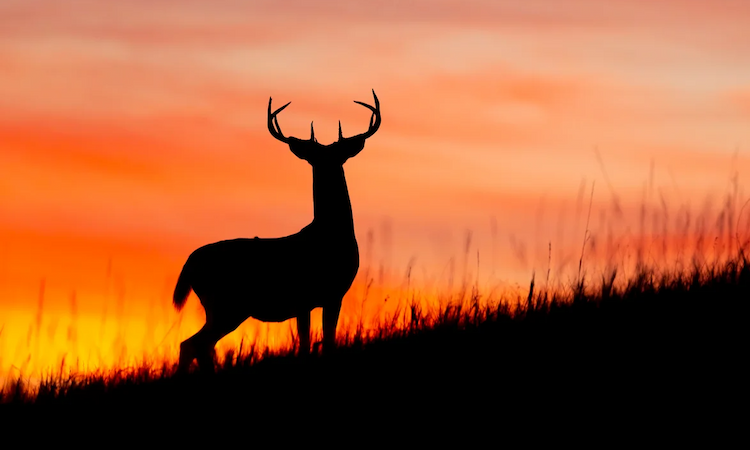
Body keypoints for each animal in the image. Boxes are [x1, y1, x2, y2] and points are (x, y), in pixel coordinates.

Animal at [172, 90, 381, 373]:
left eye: (337, 156)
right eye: (316, 157)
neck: (330, 234)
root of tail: (190, 262)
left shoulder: (320, 298)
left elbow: (315, 341)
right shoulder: (320, 294)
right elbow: (316, 342)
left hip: (220, 306)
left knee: (198, 345)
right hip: (227, 303)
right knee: (193, 344)